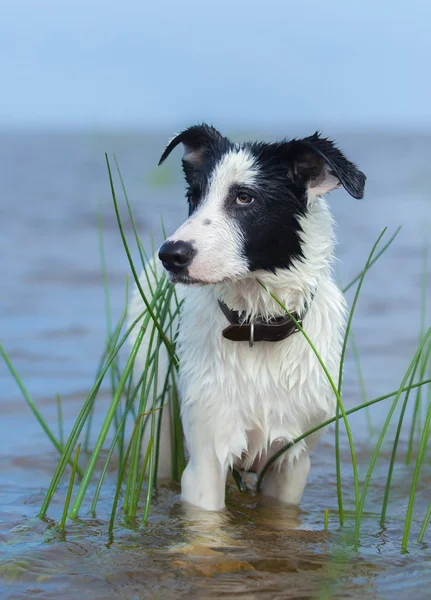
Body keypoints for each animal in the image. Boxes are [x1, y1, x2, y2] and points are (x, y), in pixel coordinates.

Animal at [127, 124, 364, 508]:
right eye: (193, 197)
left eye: (244, 198)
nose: (171, 255)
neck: (257, 327)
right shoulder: (205, 459)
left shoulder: (292, 460)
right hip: (158, 417)